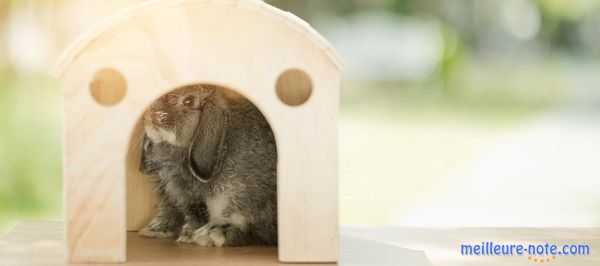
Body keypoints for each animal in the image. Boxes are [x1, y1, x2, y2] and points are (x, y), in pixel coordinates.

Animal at [138, 84, 276, 246]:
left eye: (189, 101)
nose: (154, 115)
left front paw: (192, 235)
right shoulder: (175, 196)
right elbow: (175, 211)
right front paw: (157, 229)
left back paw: (212, 234)